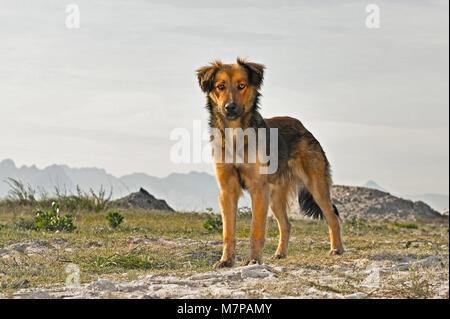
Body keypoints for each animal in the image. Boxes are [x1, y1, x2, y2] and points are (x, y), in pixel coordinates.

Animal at [196, 58, 344, 268]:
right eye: (220, 86)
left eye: (242, 86)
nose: (230, 107)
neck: (236, 134)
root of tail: (303, 127)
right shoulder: (227, 190)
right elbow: (228, 232)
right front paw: (226, 260)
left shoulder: (258, 189)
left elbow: (256, 229)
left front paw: (254, 260)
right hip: (274, 197)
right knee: (287, 225)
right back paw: (280, 253)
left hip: (316, 187)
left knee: (332, 216)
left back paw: (337, 249)